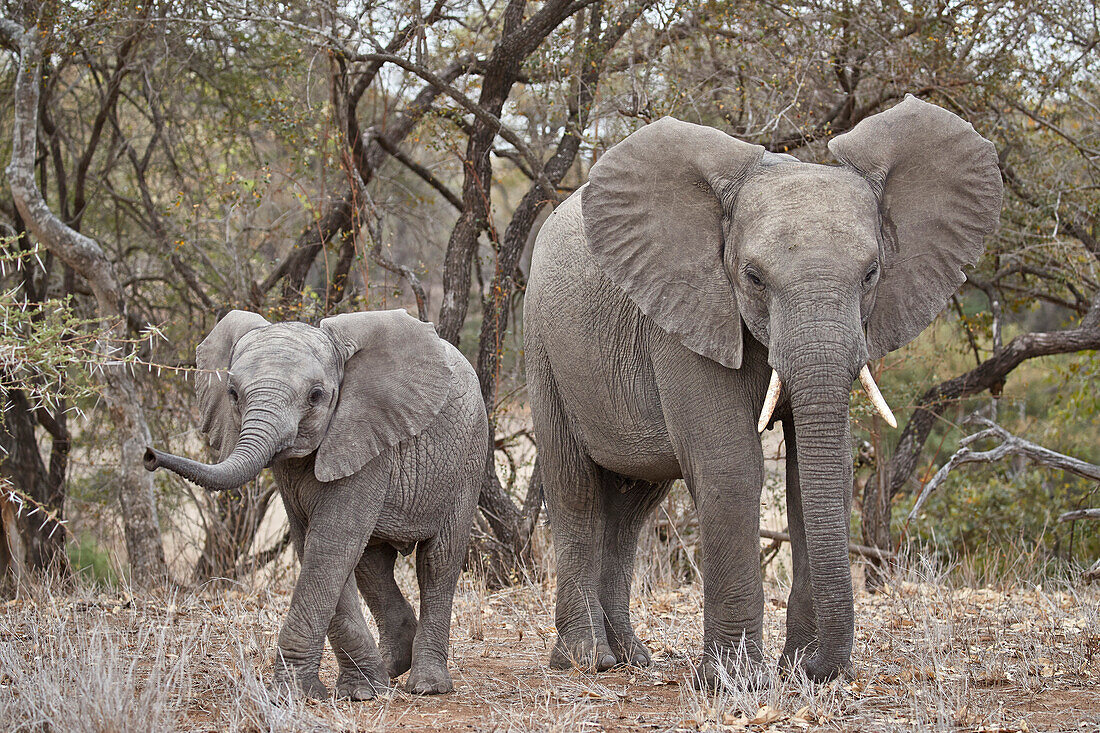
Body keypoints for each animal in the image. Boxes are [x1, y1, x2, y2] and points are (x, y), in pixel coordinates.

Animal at [144, 305, 488, 695]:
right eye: (232, 393)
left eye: (316, 396)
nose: (149, 456)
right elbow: (314, 545)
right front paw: (361, 691)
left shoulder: (363, 439)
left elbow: (330, 545)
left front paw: (293, 693)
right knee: (372, 564)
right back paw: (391, 668)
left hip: (468, 455)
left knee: (438, 559)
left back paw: (426, 685)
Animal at [523, 94, 1007, 682]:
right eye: (753, 277)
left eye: (871, 274)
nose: (822, 669)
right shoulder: (687, 310)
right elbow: (730, 466)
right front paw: (735, 681)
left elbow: (816, 473)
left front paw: (798, 668)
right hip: (544, 346)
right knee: (575, 490)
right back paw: (586, 660)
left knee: (633, 506)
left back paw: (631, 659)